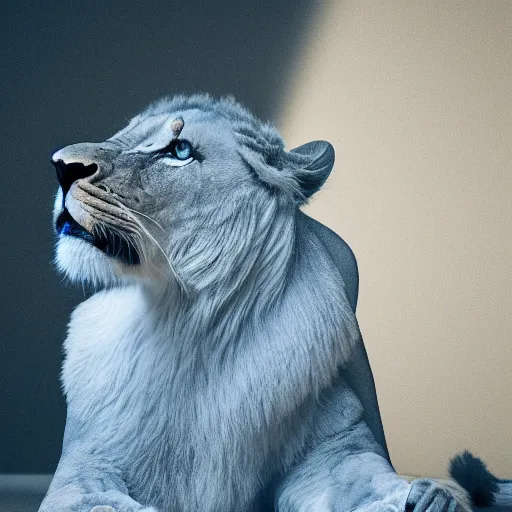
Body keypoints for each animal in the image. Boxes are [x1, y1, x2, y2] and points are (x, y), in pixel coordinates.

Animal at [40, 95, 504, 512]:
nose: (62, 166)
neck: (192, 327)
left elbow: (361, 478)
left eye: (180, 150)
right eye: (125, 133)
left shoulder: (333, 449)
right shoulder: (86, 464)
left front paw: (430, 497)